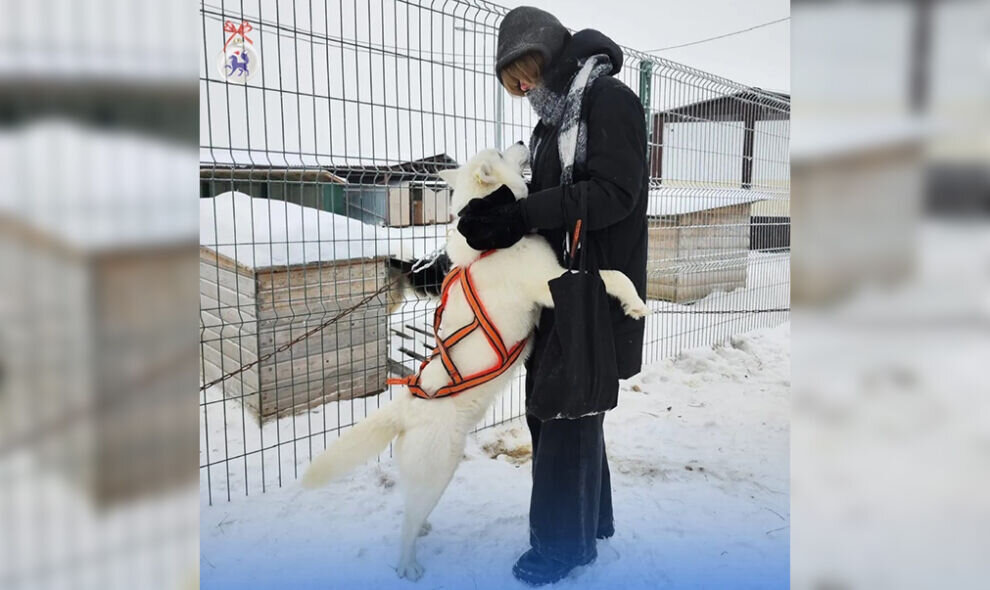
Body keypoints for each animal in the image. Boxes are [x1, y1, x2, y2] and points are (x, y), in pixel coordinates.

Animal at [300, 143, 652, 584]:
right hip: (437, 470)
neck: (493, 245)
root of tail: (406, 407)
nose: (521, 142)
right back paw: (408, 564)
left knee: (411, 508)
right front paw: (635, 303)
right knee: (406, 524)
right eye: (500, 153)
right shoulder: (551, 283)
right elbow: (615, 275)